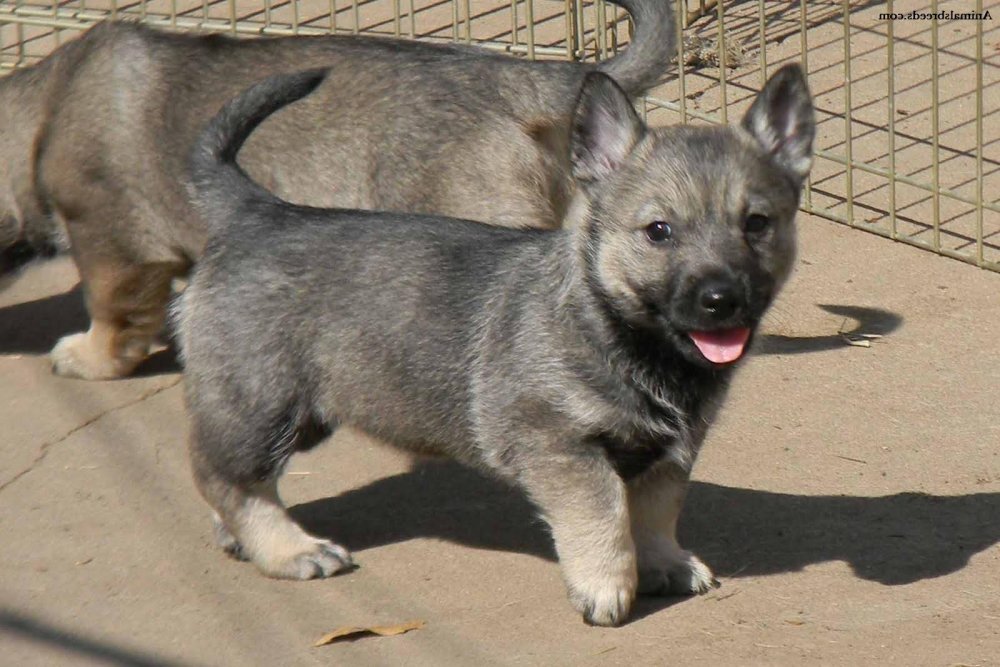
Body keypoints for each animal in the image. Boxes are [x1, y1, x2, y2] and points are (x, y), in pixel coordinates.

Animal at [180, 62, 816, 628]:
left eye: (756, 224)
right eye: (658, 232)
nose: (720, 300)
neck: (614, 326)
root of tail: (257, 212)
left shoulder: (670, 454)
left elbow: (656, 512)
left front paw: (664, 563)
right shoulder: (561, 445)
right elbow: (605, 515)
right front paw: (606, 586)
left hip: (298, 414)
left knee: (227, 474)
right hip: (262, 403)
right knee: (226, 477)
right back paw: (290, 550)